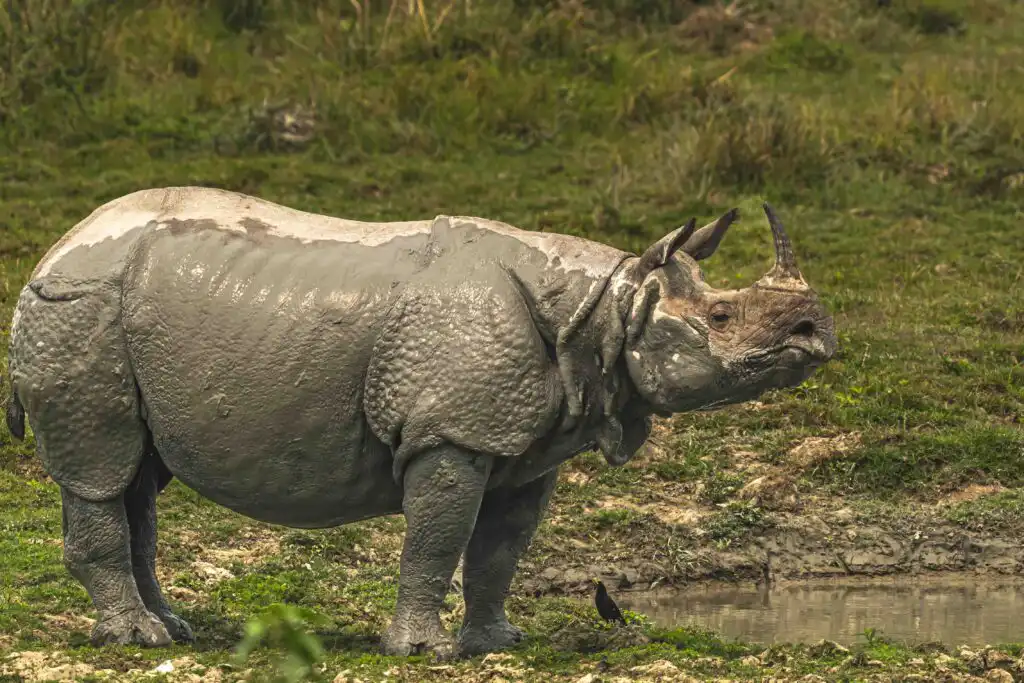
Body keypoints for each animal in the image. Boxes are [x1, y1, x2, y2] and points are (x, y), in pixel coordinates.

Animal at [4, 187, 836, 658]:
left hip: (111, 313)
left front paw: (496, 643)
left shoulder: (528, 443)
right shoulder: (453, 430)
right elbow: (438, 537)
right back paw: (135, 640)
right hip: (78, 309)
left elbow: (502, 547)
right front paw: (425, 653)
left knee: (138, 475)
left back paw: (172, 629)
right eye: (722, 318)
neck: (604, 305)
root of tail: (50, 252)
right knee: (100, 466)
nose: (816, 331)